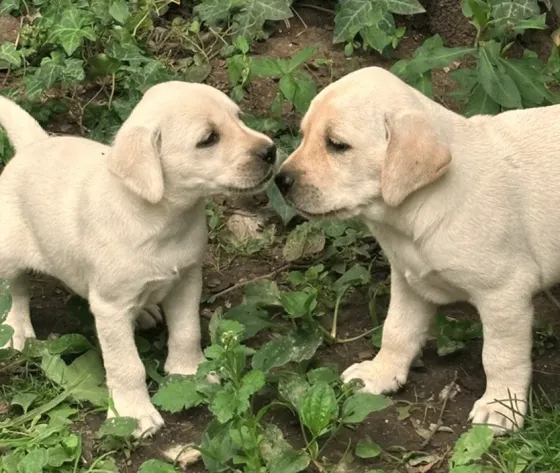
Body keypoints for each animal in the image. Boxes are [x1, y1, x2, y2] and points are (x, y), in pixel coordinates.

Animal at [0, 82, 276, 436]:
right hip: (9, 253)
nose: (271, 151)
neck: (163, 220)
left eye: (239, 117)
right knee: (16, 291)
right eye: (208, 139)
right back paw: (17, 329)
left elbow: (187, 331)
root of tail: (34, 146)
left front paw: (189, 372)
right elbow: (126, 365)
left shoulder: (187, 280)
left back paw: (144, 312)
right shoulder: (111, 308)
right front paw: (133, 413)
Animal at [274, 65, 560, 432]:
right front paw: (380, 373)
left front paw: (501, 406)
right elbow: (396, 330)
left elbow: (500, 356)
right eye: (303, 134)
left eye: (337, 145)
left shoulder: (504, 293)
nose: (280, 180)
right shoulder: (408, 280)